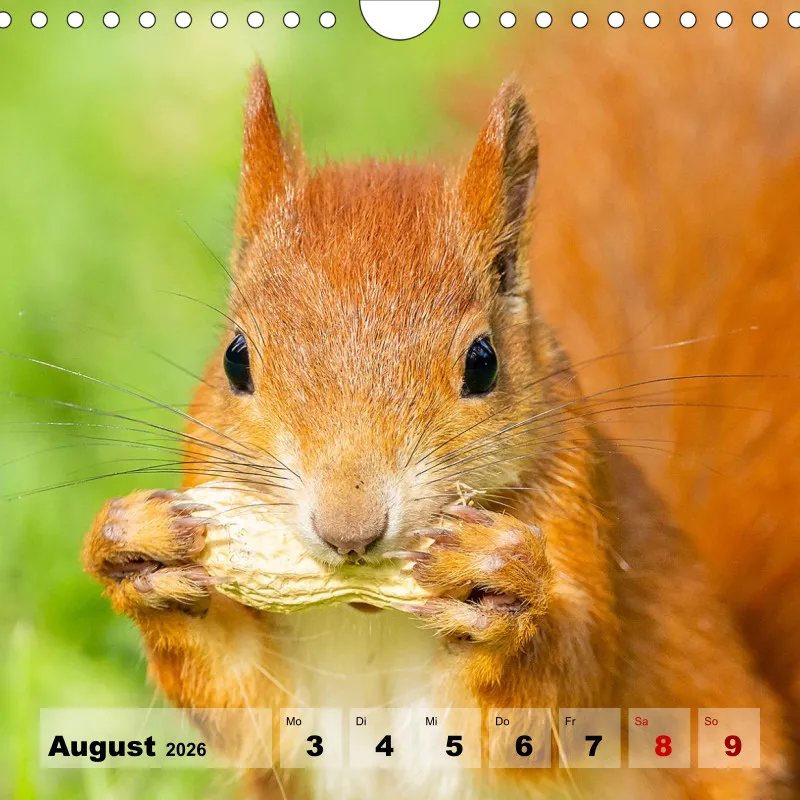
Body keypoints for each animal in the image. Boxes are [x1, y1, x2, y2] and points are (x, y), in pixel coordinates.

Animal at [82, 16, 800, 798]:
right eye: (236, 359)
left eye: (482, 362)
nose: (350, 530)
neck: (366, 608)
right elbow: (239, 700)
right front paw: (138, 548)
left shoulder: (582, 517)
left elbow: (554, 695)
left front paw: (499, 582)